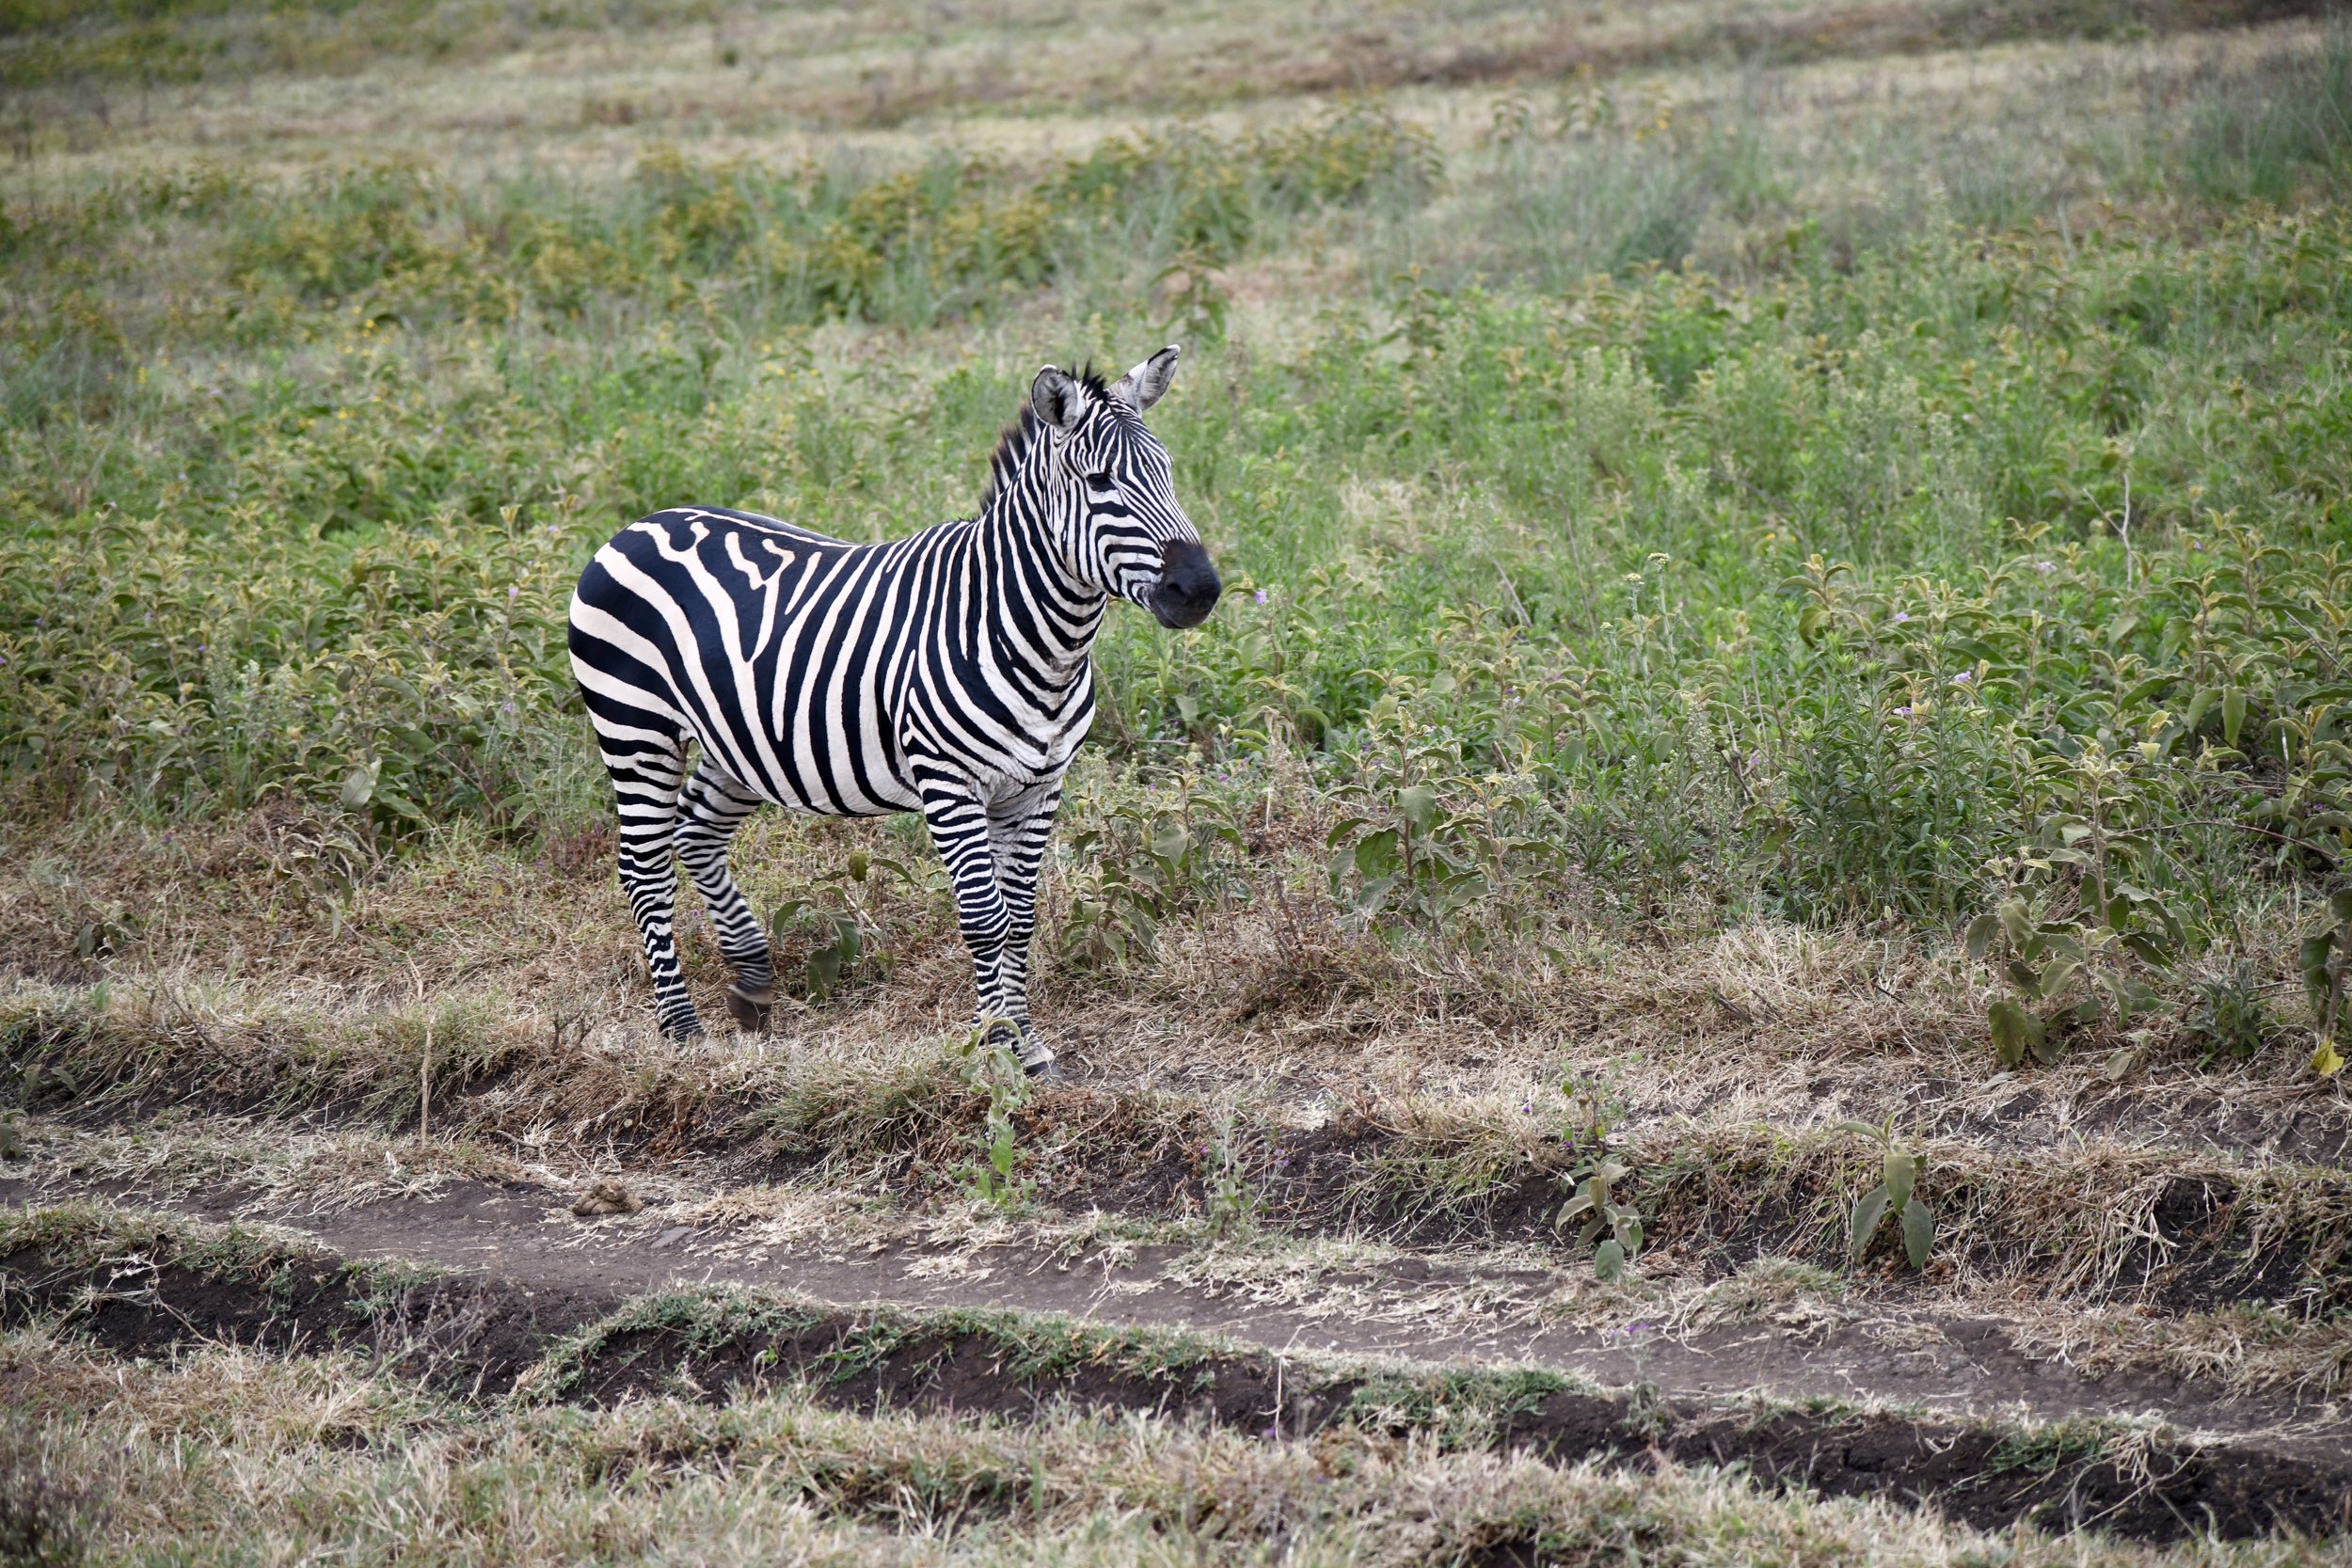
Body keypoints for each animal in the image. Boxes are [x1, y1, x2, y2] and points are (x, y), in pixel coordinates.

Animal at [567, 348, 1219, 1080]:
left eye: (1169, 471)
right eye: (1100, 481)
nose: (1200, 590)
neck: (1030, 635)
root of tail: (638, 524)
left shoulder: (1039, 785)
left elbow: (1021, 917)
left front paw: (1028, 1044)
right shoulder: (950, 782)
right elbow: (985, 918)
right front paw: (995, 1047)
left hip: (736, 744)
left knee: (696, 832)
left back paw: (754, 982)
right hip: (635, 727)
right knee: (644, 868)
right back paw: (681, 1028)